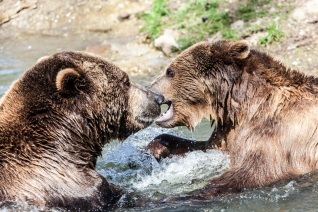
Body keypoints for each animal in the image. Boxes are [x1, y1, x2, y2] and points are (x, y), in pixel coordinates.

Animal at [147, 40, 318, 202]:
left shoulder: (277, 134)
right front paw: (154, 148)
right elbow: (204, 147)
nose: (149, 90)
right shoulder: (229, 130)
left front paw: (168, 198)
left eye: (170, 72)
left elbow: (255, 173)